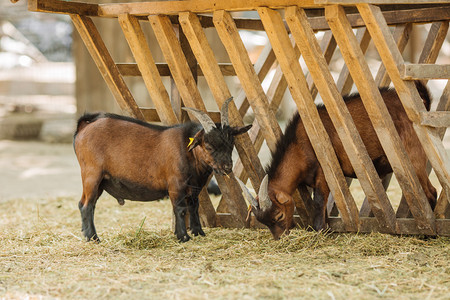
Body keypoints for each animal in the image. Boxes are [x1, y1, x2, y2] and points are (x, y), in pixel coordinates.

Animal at [72, 99, 251, 244]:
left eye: (231, 143)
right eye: (208, 146)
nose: (226, 166)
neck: (187, 151)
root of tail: (84, 126)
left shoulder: (194, 187)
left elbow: (194, 207)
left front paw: (198, 233)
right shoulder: (175, 184)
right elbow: (180, 209)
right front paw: (183, 237)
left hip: (100, 181)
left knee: (88, 204)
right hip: (91, 174)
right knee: (86, 205)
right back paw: (93, 238)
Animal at [239, 81, 436, 239]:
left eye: (279, 216)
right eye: (264, 222)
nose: (280, 238)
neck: (300, 144)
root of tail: (422, 105)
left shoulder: (323, 173)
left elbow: (319, 201)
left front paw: (320, 231)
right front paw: (325, 229)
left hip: (413, 158)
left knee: (431, 192)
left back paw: (429, 233)